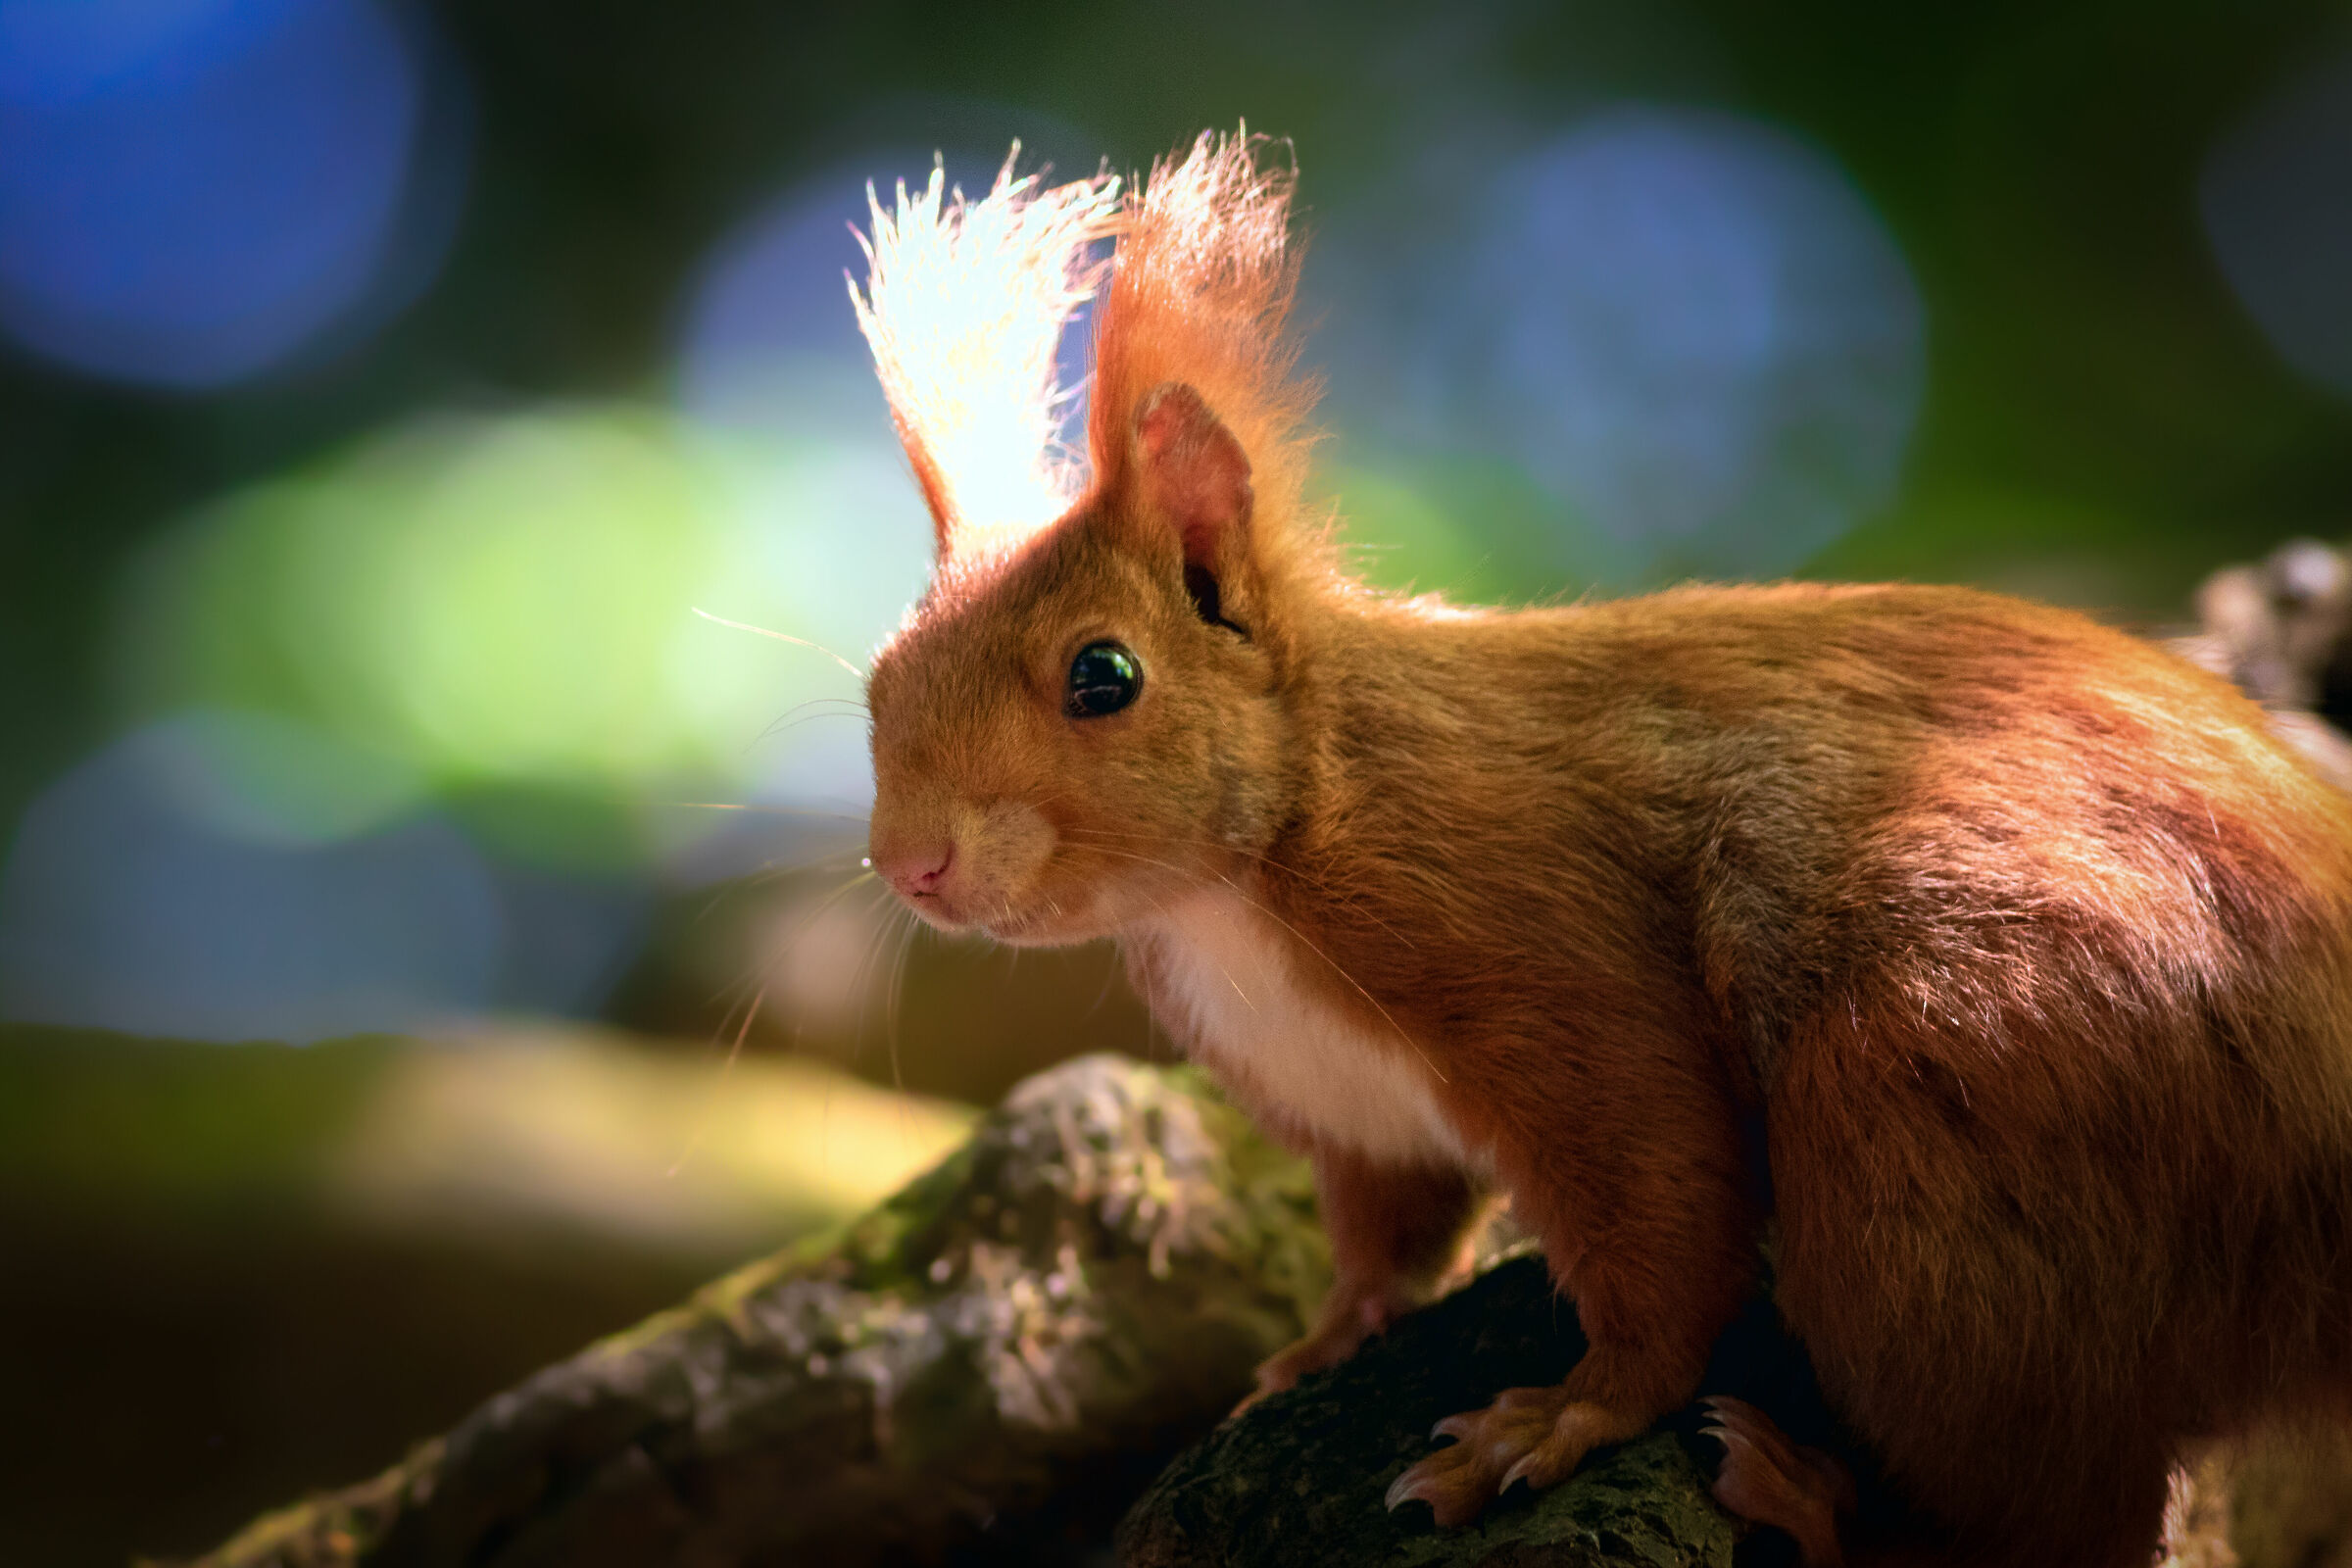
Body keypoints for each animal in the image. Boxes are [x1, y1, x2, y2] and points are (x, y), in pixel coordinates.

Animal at [845, 131, 2352, 1566]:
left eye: (1102, 676)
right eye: (880, 680)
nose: (914, 865)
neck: (1241, 882)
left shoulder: (1541, 950)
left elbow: (1660, 1211)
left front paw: (1570, 1416)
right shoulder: (1345, 1109)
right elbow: (1386, 1237)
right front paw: (1314, 1347)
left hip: (1954, 1109)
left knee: (2056, 1509)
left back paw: (1816, 1505)